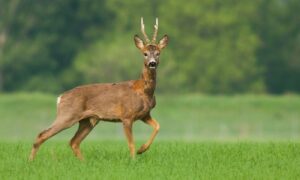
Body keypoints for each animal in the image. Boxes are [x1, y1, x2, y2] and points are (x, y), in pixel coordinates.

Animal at [29, 17, 169, 160]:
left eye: (158, 53)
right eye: (145, 54)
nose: (152, 63)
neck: (143, 91)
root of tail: (60, 97)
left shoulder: (145, 114)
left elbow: (158, 126)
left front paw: (142, 149)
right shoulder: (126, 116)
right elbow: (131, 143)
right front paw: (134, 159)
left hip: (89, 120)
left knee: (73, 141)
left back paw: (83, 162)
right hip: (67, 115)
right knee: (42, 135)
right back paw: (31, 161)